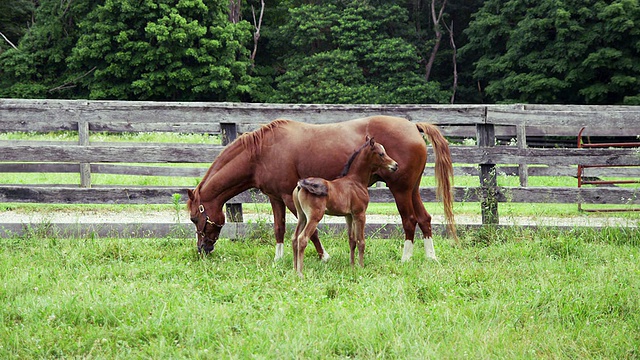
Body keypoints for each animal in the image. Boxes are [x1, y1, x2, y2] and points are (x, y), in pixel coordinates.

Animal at [188, 115, 458, 262]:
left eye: (194, 218)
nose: (202, 249)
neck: (263, 151)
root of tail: (413, 127)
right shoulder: (275, 198)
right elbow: (279, 229)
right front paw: (278, 258)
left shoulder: (291, 198)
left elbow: (311, 230)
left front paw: (323, 256)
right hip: (412, 189)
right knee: (424, 218)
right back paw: (431, 257)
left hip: (400, 190)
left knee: (409, 220)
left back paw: (405, 258)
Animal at [292, 136, 398, 278]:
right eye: (381, 154)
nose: (395, 165)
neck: (356, 181)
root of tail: (301, 185)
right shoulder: (360, 214)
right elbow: (361, 241)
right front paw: (361, 267)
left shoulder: (349, 216)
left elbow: (352, 241)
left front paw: (352, 266)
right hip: (314, 217)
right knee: (302, 239)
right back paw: (300, 273)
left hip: (302, 216)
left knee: (294, 238)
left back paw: (294, 269)